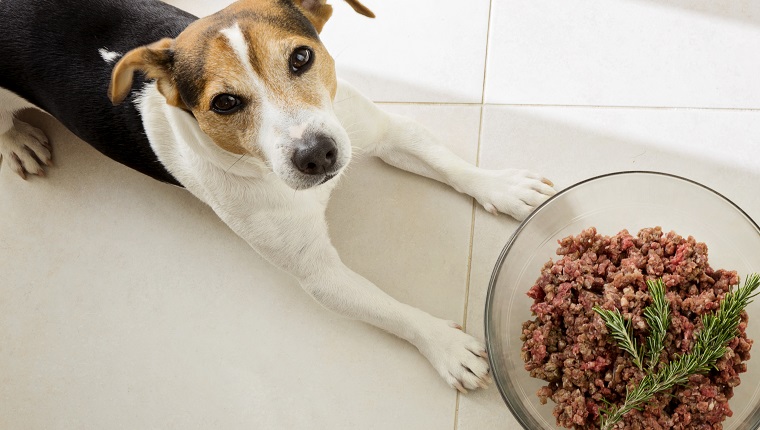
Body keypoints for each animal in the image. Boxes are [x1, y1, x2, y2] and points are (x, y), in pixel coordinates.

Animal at [0, 0, 560, 394]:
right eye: (225, 103)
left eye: (301, 57)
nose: (318, 155)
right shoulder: (320, 275)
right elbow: (389, 309)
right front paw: (443, 344)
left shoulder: (376, 130)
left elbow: (445, 162)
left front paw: (501, 186)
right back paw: (19, 141)